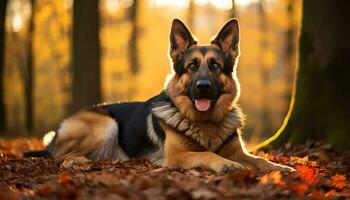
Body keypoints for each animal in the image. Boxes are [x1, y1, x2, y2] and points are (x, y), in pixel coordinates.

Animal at [28, 18, 294, 173]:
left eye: (215, 66)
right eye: (192, 66)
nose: (203, 86)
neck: (205, 122)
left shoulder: (240, 151)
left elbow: (258, 159)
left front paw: (279, 167)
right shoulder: (177, 156)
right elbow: (206, 153)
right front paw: (226, 164)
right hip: (105, 123)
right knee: (61, 156)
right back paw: (79, 162)